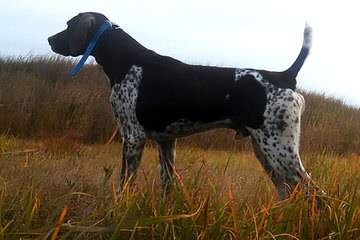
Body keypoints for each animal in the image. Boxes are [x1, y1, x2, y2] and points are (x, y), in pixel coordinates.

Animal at [48, 11, 320, 199]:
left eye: (68, 25)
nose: (49, 39)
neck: (127, 62)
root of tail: (285, 76)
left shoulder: (133, 138)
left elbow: (125, 183)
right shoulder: (166, 141)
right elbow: (167, 185)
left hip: (279, 151)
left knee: (315, 193)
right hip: (266, 152)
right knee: (289, 191)